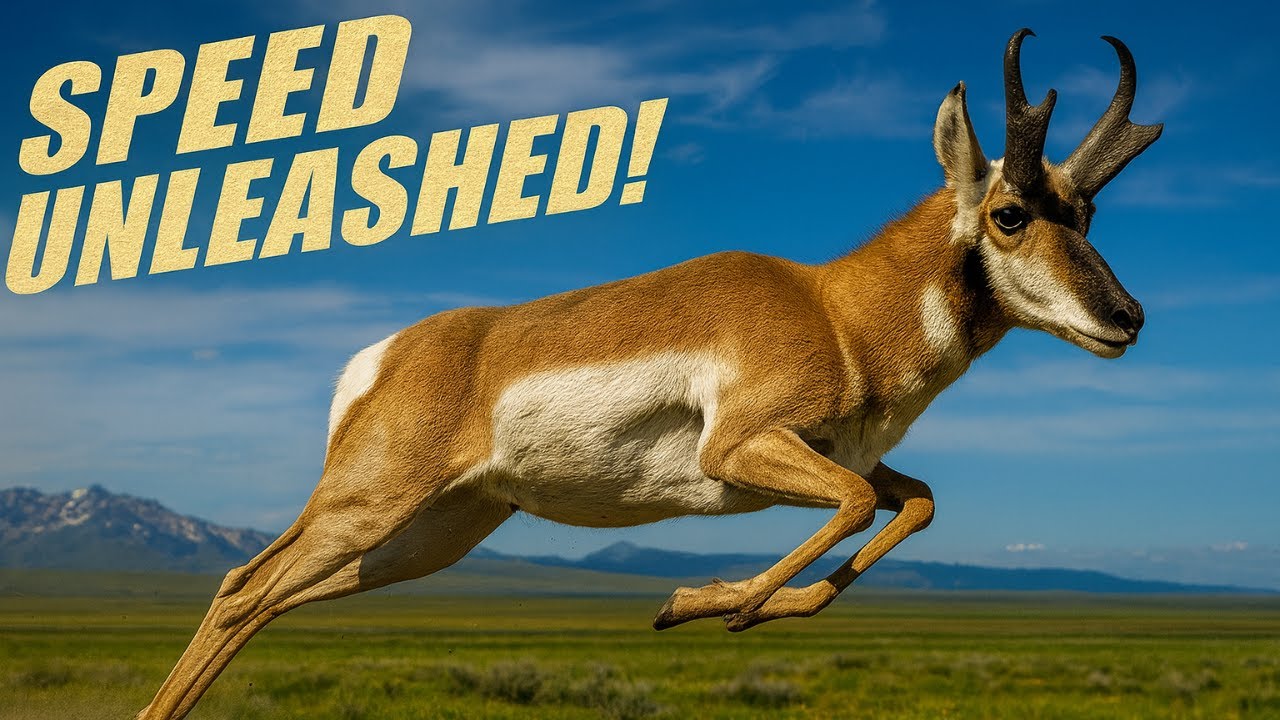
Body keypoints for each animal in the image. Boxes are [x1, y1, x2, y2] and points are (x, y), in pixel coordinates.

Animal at [139, 29, 1162, 719]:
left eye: (1087, 212)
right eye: (1010, 213)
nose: (1128, 319)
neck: (835, 309)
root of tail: (390, 353)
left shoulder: (850, 458)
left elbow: (912, 504)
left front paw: (743, 609)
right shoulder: (740, 451)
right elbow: (853, 508)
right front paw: (698, 604)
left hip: (427, 539)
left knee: (267, 598)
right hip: (368, 504)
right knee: (242, 589)